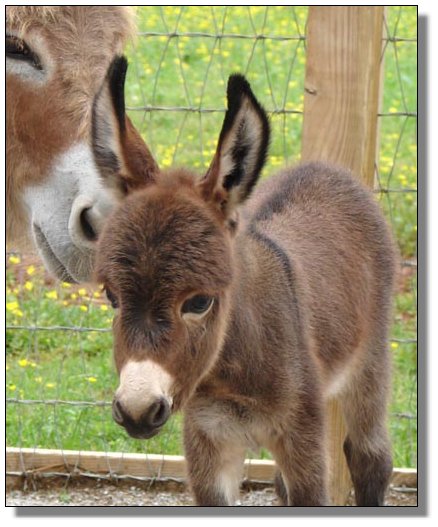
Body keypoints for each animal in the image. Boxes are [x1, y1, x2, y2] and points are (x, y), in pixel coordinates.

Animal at [95, 74, 396, 506]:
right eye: (111, 297)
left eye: (199, 301)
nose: (137, 410)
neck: (229, 375)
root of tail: (325, 169)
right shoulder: (207, 439)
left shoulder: (303, 440)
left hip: (369, 363)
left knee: (370, 455)